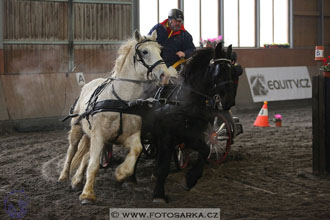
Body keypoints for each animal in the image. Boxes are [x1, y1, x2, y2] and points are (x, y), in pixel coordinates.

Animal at [58, 30, 170, 204]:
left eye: (160, 50)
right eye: (144, 51)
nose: (165, 75)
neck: (121, 101)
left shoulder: (129, 136)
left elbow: (136, 149)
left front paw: (121, 173)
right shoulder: (99, 136)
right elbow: (94, 165)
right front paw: (87, 194)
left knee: (85, 156)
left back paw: (76, 180)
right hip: (77, 129)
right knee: (72, 150)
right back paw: (64, 176)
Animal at [152, 42, 235, 202]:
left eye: (231, 70)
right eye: (220, 70)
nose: (229, 101)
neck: (187, 101)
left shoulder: (194, 135)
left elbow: (206, 150)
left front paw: (191, 179)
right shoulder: (167, 136)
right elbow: (164, 166)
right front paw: (159, 194)